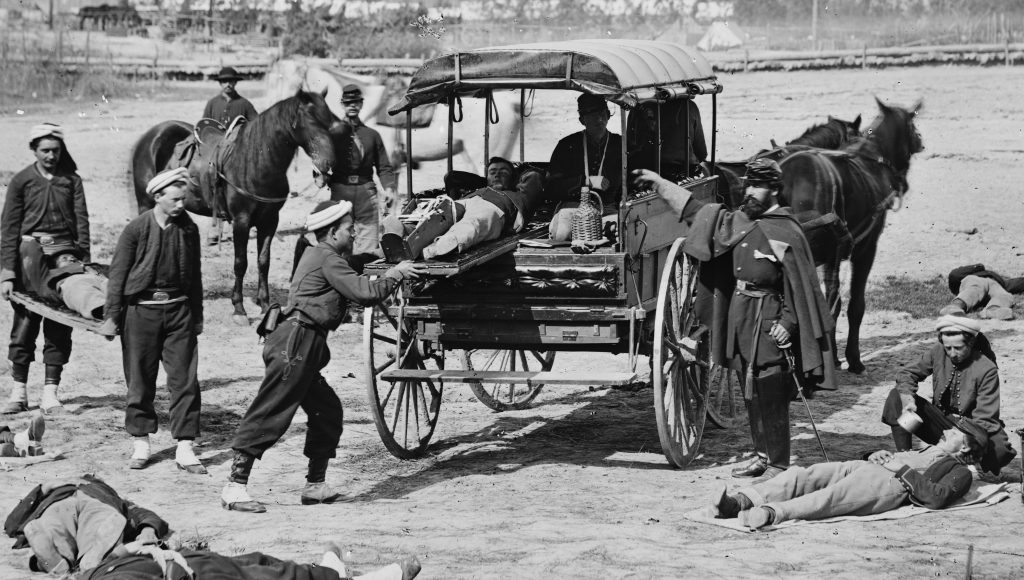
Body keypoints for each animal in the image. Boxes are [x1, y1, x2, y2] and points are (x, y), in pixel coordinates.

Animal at [130, 91, 337, 327]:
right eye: (310, 120)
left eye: (329, 120)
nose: (328, 164)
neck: (256, 162)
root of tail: (152, 135)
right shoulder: (241, 221)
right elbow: (241, 263)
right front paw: (239, 309)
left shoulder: (269, 221)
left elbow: (263, 261)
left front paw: (265, 304)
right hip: (145, 202)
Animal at [778, 97, 925, 375]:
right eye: (912, 126)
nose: (921, 141)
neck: (872, 158)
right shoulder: (865, 248)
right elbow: (852, 305)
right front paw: (852, 359)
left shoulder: (832, 256)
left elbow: (830, 302)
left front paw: (834, 357)